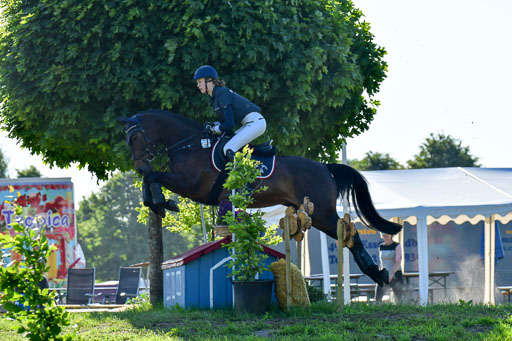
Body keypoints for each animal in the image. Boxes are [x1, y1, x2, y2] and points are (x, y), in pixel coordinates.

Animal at [122, 109, 402, 284]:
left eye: (134, 137)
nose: (139, 166)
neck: (189, 145)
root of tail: (325, 167)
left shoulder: (191, 185)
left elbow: (155, 177)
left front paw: (162, 202)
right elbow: (151, 179)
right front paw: (157, 203)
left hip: (323, 212)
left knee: (350, 234)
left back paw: (378, 275)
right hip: (316, 214)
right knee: (348, 235)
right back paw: (376, 274)